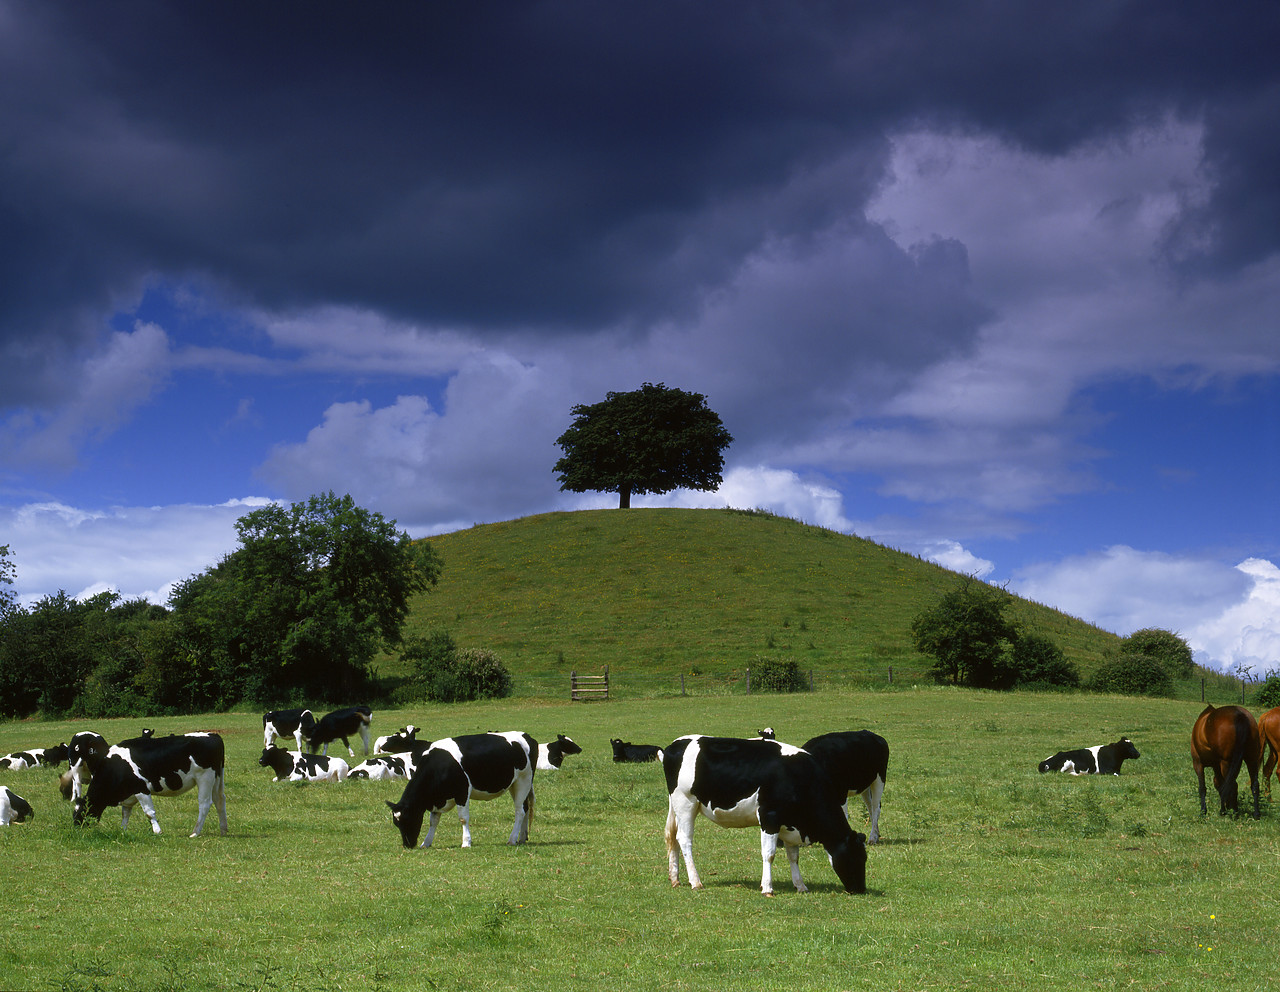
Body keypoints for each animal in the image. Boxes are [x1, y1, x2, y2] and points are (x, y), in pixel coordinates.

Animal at [68, 727, 227, 839]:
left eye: (81, 812)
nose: (76, 828)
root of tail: (213, 735)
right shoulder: (128, 795)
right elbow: (125, 814)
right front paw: (123, 830)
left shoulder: (141, 788)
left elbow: (149, 812)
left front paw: (157, 831)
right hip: (217, 778)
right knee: (220, 800)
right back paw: (223, 830)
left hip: (205, 777)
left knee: (205, 804)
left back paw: (195, 832)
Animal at [384, 732, 535, 849]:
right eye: (396, 823)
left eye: (408, 819)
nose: (407, 845)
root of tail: (527, 736)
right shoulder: (436, 798)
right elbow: (433, 821)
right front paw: (426, 843)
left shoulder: (462, 792)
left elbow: (463, 818)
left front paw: (466, 842)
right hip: (514, 785)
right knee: (526, 808)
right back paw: (522, 837)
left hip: (524, 780)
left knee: (520, 811)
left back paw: (512, 839)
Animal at [660, 732, 870, 896]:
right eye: (856, 856)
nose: (860, 889)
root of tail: (673, 746)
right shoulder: (770, 817)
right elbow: (769, 854)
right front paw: (767, 888)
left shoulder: (789, 824)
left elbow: (793, 856)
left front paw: (800, 885)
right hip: (686, 802)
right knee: (684, 839)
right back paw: (696, 882)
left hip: (679, 806)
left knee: (673, 837)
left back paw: (675, 878)